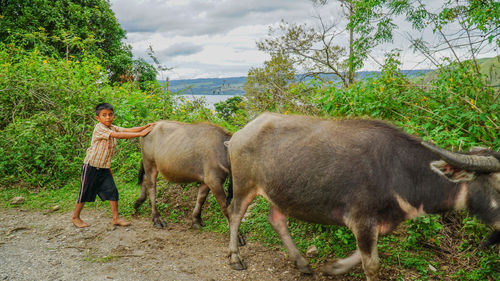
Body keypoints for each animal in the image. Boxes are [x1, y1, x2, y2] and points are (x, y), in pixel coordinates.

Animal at [227, 112, 500, 280]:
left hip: (279, 193)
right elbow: (372, 264)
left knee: (276, 220)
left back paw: (302, 263)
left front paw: (334, 267)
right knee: (235, 214)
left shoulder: (380, 223)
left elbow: (362, 256)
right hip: (243, 185)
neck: (399, 171)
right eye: (498, 185)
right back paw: (235, 258)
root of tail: (240, 133)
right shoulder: (362, 220)